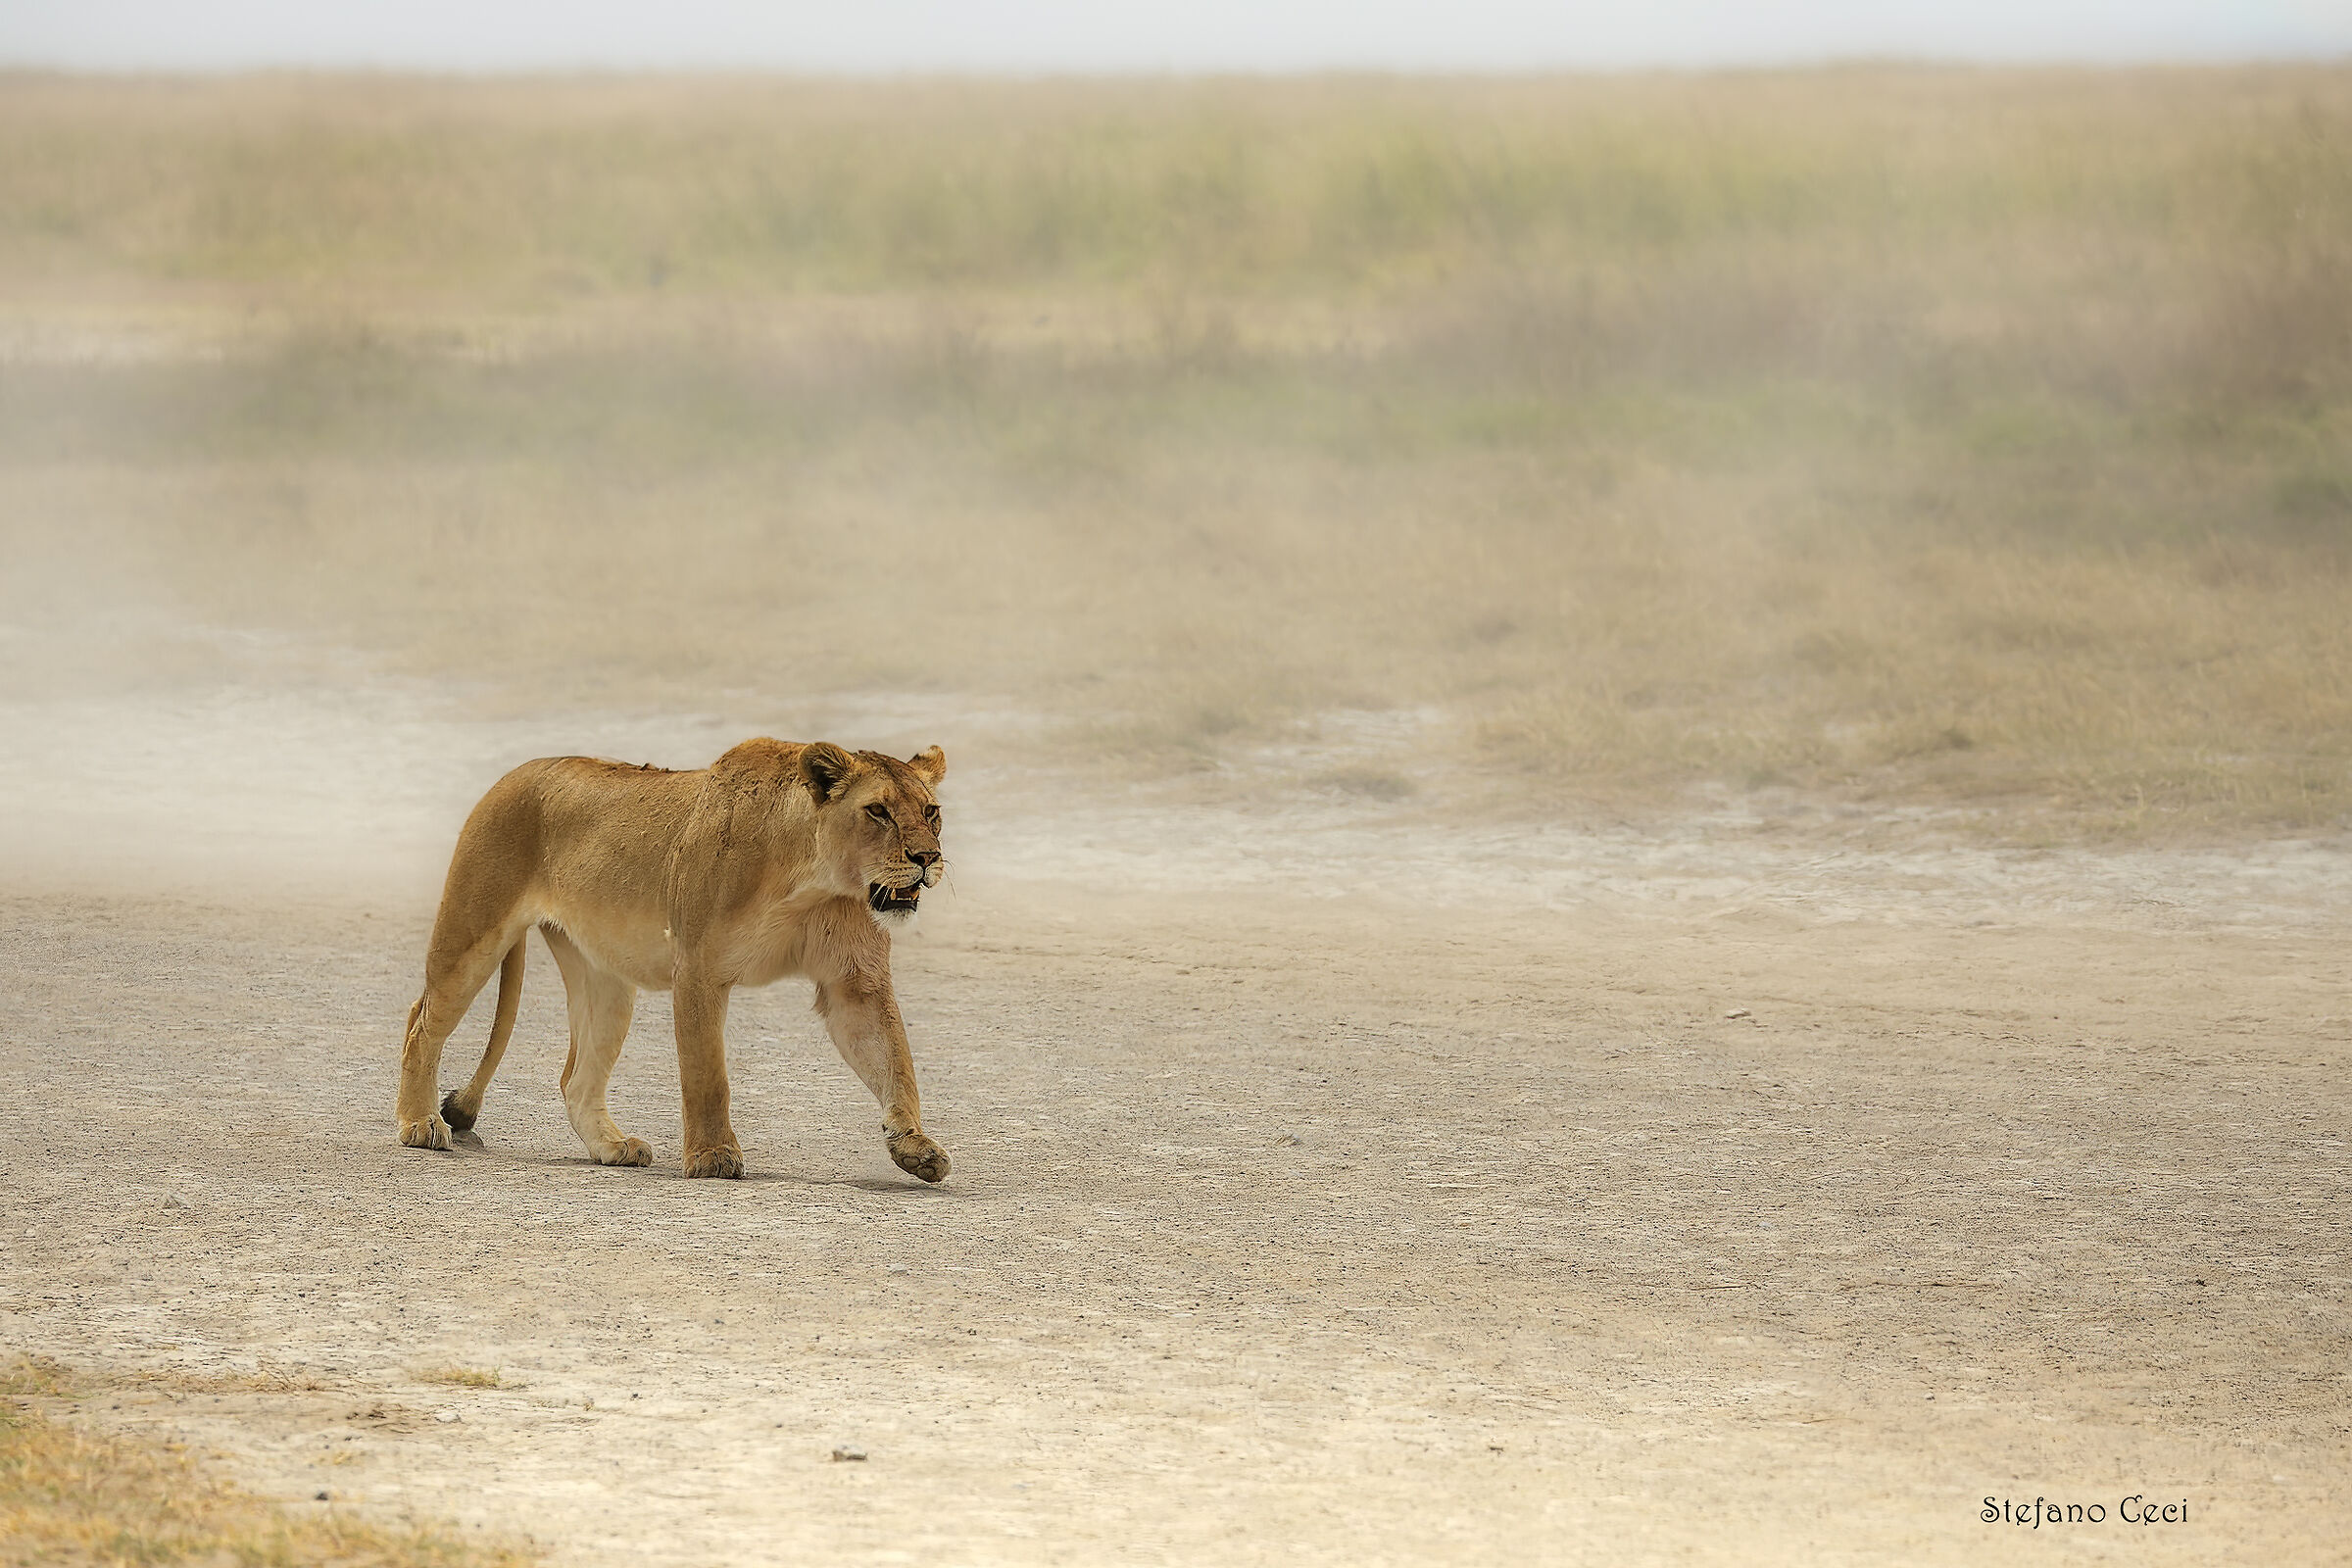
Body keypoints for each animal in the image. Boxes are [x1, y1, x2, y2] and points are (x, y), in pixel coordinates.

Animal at [394, 738, 951, 1182]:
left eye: (930, 812)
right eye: (878, 811)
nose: (926, 858)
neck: (811, 883)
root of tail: (516, 772)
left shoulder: (854, 983)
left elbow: (895, 1062)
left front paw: (915, 1146)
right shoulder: (698, 969)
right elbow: (707, 1074)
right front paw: (713, 1156)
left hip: (605, 980)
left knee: (576, 1079)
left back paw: (613, 1147)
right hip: (471, 934)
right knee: (421, 1024)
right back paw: (421, 1124)